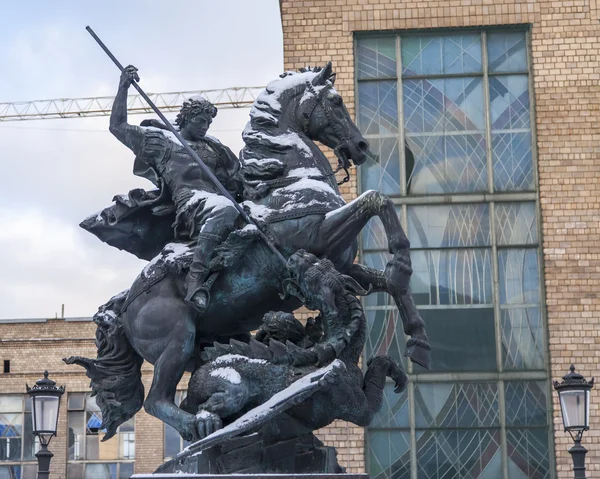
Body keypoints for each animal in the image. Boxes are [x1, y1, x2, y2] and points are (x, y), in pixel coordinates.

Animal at [65, 62, 428, 442]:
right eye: (336, 101)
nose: (360, 146)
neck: (290, 181)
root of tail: (124, 306)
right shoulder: (319, 235)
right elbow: (377, 200)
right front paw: (402, 263)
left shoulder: (341, 265)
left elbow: (388, 282)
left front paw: (418, 341)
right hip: (176, 339)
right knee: (156, 401)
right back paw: (203, 423)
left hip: (206, 342)